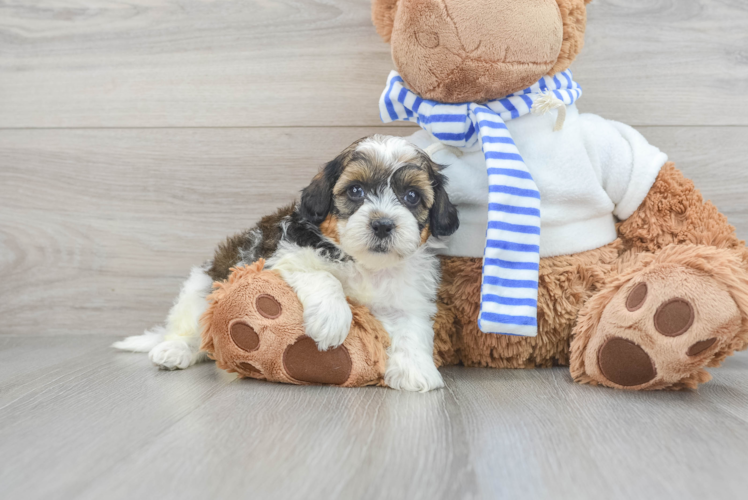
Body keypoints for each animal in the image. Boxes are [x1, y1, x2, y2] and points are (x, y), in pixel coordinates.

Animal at [113, 135, 458, 392]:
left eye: (412, 196)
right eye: (355, 190)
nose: (383, 224)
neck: (365, 264)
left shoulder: (408, 297)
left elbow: (412, 327)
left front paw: (415, 370)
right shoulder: (278, 261)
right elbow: (324, 277)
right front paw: (333, 319)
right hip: (201, 289)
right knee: (194, 330)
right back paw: (175, 349)